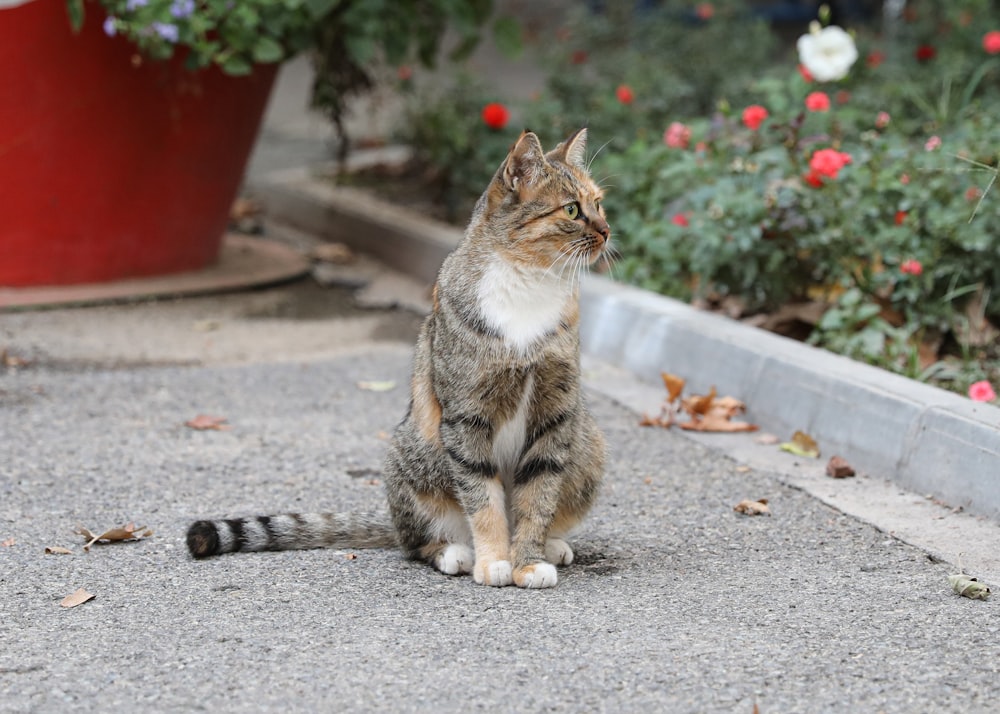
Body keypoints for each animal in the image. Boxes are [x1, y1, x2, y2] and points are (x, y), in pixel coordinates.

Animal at [187, 129, 608, 588]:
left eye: (599, 203)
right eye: (572, 209)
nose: (607, 230)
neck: (531, 284)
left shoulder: (554, 415)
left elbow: (538, 496)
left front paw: (527, 560)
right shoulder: (466, 415)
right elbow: (482, 497)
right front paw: (495, 560)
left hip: (587, 442)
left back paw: (551, 546)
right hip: (415, 453)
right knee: (415, 542)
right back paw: (455, 552)